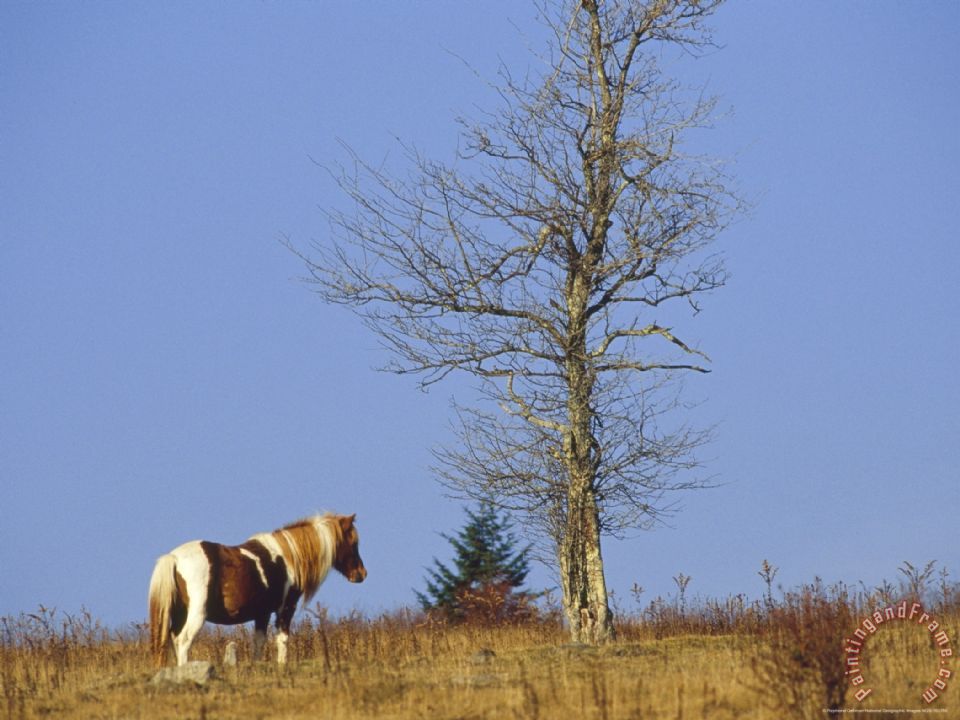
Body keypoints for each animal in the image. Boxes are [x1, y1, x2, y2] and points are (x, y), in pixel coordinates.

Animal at [148, 512, 366, 667]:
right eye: (353, 542)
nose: (362, 574)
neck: (289, 557)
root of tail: (174, 558)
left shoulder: (262, 613)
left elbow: (259, 643)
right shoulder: (285, 609)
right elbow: (282, 640)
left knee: (174, 639)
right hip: (197, 614)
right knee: (184, 640)